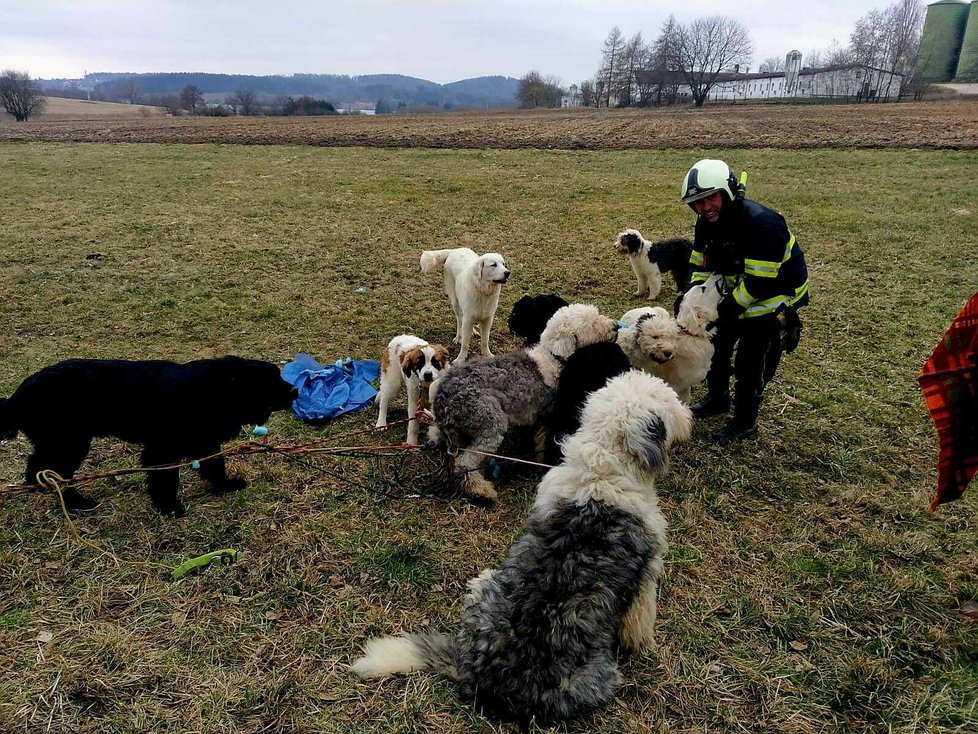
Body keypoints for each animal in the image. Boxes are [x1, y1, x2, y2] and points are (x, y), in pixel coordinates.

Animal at [0, 356, 298, 516]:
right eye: (271, 381)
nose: (295, 390)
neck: (216, 390)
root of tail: (15, 399)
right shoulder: (162, 450)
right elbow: (165, 481)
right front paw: (169, 508)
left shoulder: (204, 442)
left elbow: (215, 467)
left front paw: (225, 486)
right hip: (70, 442)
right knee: (53, 471)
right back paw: (76, 503)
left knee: (37, 465)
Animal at [350, 370, 692, 728]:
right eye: (668, 399)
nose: (689, 416)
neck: (601, 471)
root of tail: (483, 676)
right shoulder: (647, 573)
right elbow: (640, 621)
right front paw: (646, 647)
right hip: (597, 677)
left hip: (485, 581)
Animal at [428, 304, 612, 500]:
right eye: (592, 324)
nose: (615, 326)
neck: (552, 357)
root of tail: (442, 398)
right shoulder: (547, 416)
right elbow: (542, 443)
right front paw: (541, 465)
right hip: (491, 423)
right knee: (465, 462)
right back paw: (482, 490)